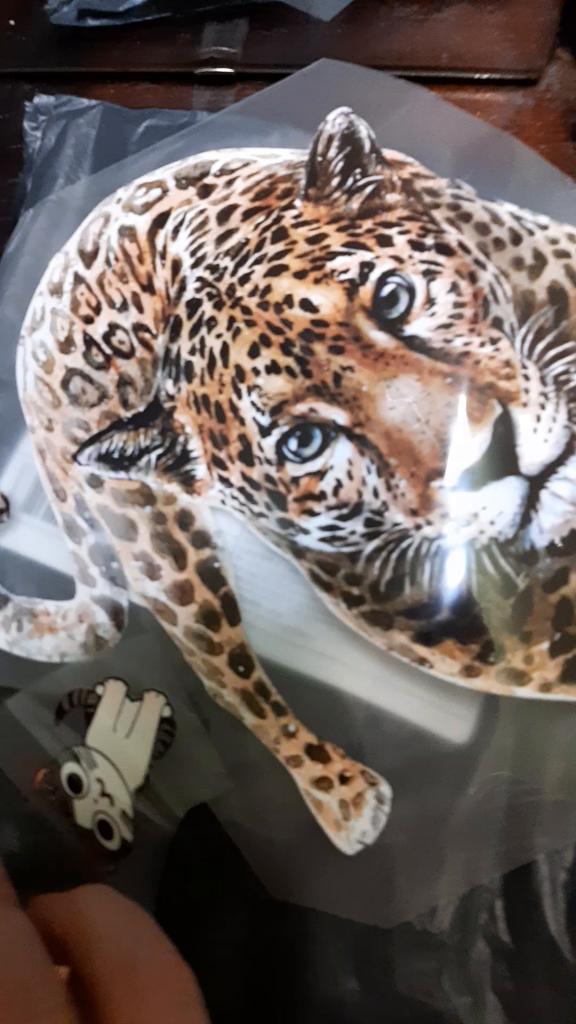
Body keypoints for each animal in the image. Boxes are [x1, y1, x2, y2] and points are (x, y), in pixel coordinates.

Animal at [2, 106, 576, 854]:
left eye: (394, 298)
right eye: (303, 442)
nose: (492, 458)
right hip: (159, 550)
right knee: (226, 677)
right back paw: (344, 799)